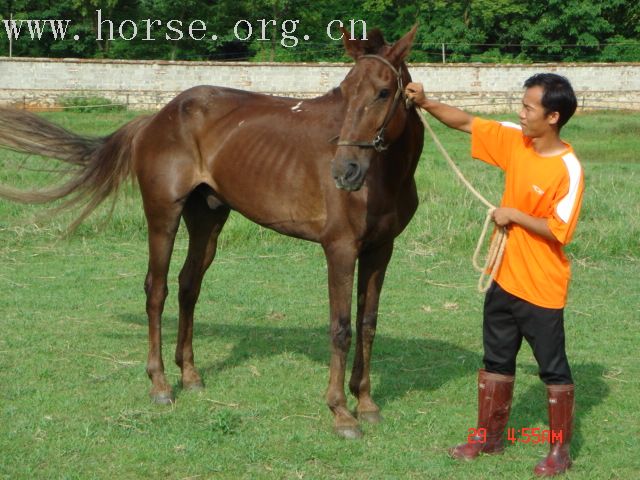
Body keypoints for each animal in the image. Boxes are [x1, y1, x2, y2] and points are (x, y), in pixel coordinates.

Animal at [0, 26, 424, 438]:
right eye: (345, 91)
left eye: (383, 92)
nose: (344, 171)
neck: (383, 178)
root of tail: (158, 117)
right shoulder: (339, 249)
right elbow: (341, 327)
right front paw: (341, 413)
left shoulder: (380, 250)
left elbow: (368, 324)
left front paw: (366, 403)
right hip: (163, 216)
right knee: (156, 290)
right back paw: (160, 384)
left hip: (207, 218)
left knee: (188, 286)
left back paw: (190, 375)